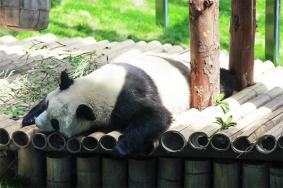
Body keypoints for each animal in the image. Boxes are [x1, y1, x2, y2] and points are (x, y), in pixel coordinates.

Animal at [22, 54, 240, 157]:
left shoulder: (124, 99)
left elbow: (156, 115)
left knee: (223, 84)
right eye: (47, 106)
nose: (40, 123)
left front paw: (121, 148)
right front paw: (29, 117)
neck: (95, 89)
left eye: (56, 122)